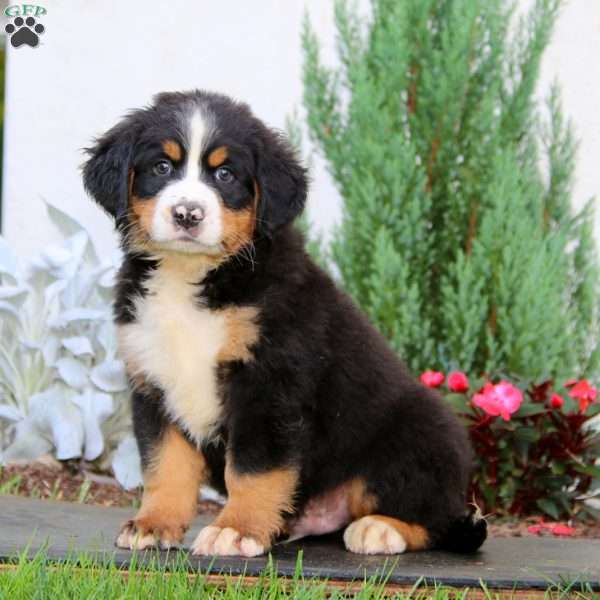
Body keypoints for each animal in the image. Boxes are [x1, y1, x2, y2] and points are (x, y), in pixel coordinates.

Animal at [83, 90, 488, 556]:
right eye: (162, 167)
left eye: (225, 174)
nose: (187, 213)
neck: (195, 277)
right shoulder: (153, 380)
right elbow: (165, 463)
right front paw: (154, 524)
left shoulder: (269, 382)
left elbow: (254, 468)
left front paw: (235, 529)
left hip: (421, 427)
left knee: (439, 517)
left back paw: (380, 529)